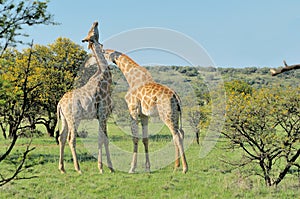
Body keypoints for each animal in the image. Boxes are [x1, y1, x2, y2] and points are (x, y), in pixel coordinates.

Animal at [55, 21, 113, 173]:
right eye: (92, 32)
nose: (95, 22)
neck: (104, 77)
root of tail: (59, 104)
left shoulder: (102, 116)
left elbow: (105, 139)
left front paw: (109, 167)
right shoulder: (102, 113)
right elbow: (102, 139)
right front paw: (102, 168)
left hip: (64, 118)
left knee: (61, 137)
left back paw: (62, 168)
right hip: (74, 118)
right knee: (71, 139)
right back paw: (78, 168)